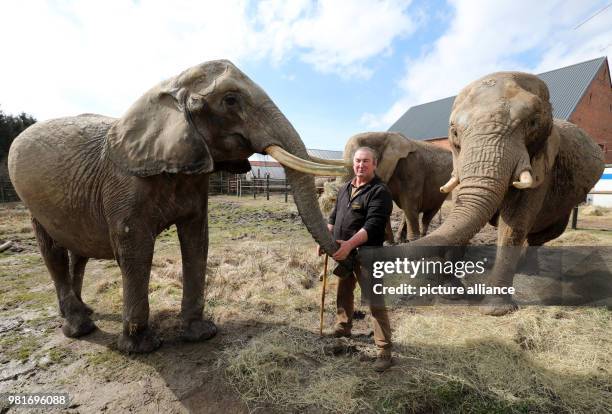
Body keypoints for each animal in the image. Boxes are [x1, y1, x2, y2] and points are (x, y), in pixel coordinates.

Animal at [7, 60, 346, 352]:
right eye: (231, 100)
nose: (340, 251)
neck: (169, 88)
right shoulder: (125, 185)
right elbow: (135, 250)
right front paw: (142, 347)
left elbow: (197, 239)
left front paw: (201, 334)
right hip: (31, 200)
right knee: (51, 249)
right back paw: (79, 327)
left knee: (78, 252)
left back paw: (85, 311)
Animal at [380, 72, 604, 316]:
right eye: (454, 133)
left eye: (533, 123)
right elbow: (460, 209)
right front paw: (451, 293)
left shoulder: (543, 163)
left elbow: (514, 222)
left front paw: (496, 310)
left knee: (544, 234)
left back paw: (528, 268)